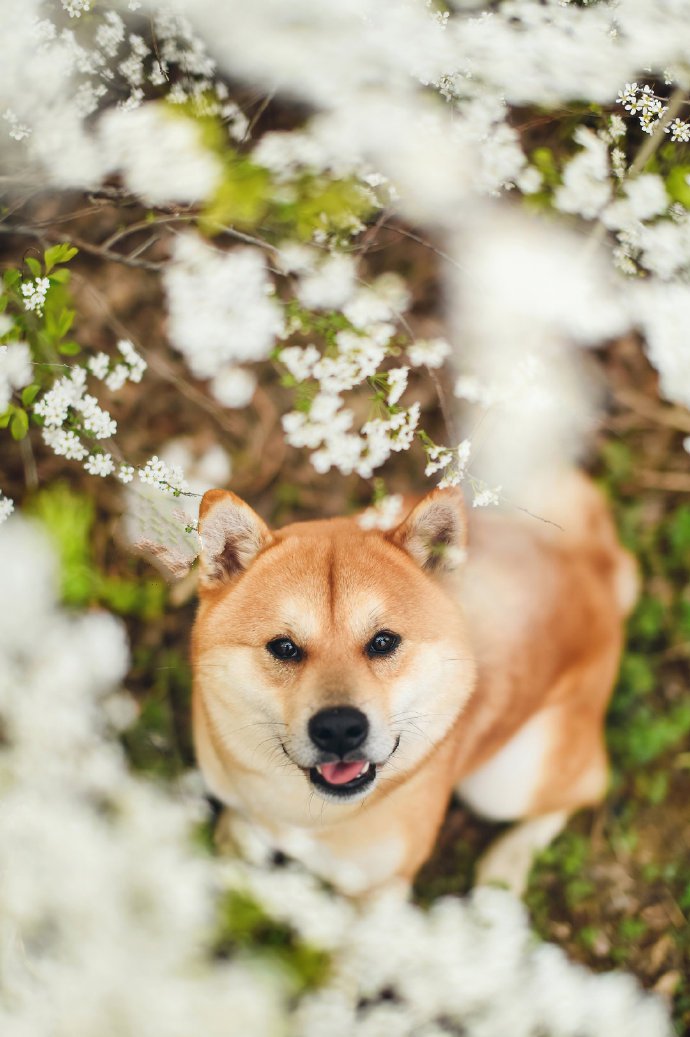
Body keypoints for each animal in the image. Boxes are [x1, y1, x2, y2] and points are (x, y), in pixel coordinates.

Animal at [189, 474, 635, 895]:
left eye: (383, 642)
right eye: (284, 647)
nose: (339, 728)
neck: (307, 812)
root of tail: (592, 563)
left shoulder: (383, 890)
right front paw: (234, 840)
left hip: (505, 780)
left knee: (590, 784)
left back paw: (508, 861)